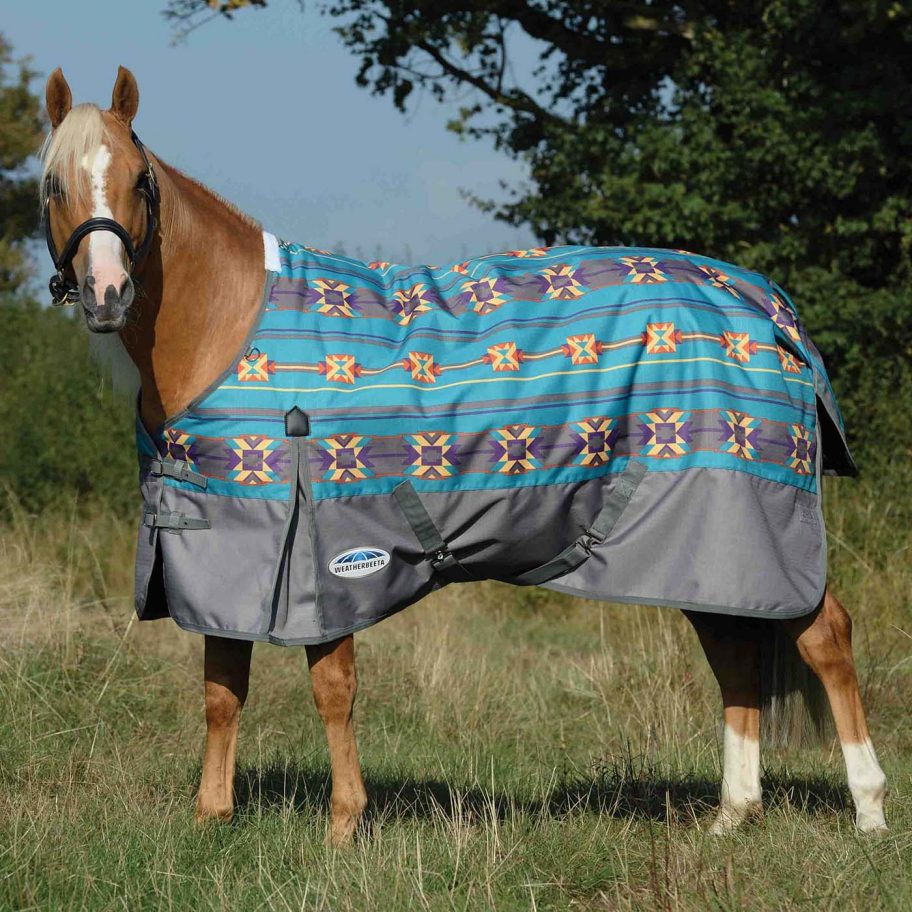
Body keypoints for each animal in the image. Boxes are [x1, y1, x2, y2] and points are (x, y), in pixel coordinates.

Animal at [40, 65, 888, 844]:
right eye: (52, 183)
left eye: (140, 180)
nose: (107, 294)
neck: (225, 326)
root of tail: (764, 308)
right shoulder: (216, 551)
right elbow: (222, 690)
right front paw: (212, 816)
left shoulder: (326, 555)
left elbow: (333, 688)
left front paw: (343, 825)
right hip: (706, 549)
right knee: (736, 651)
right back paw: (731, 817)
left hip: (750, 530)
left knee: (827, 637)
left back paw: (870, 813)